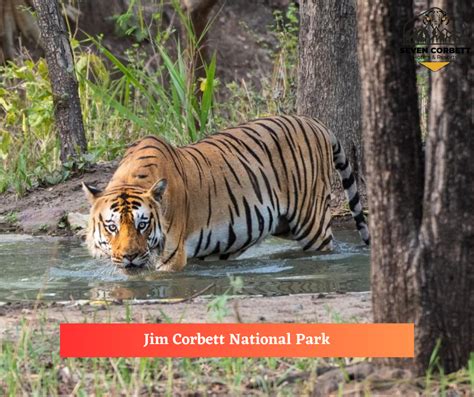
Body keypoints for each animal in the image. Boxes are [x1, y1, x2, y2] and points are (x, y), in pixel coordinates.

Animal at [83, 113, 368, 270]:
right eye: (112, 227)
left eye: (142, 225)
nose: (129, 257)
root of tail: (314, 122)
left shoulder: (171, 257)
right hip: (283, 224)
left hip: (311, 222)